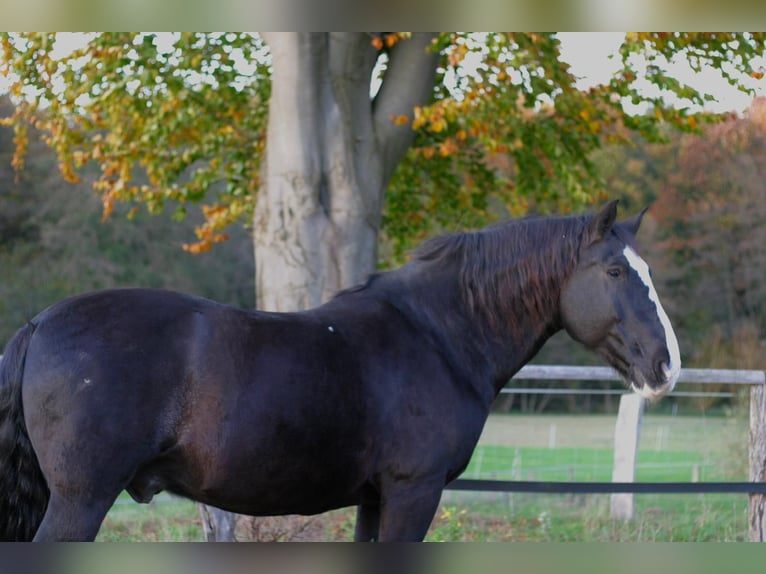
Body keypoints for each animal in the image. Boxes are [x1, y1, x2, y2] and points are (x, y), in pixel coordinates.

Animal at [0, 200, 684, 544]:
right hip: (81, 501)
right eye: (616, 271)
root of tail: (41, 323)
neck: (437, 335)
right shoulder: (414, 491)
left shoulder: (376, 498)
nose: (666, 366)